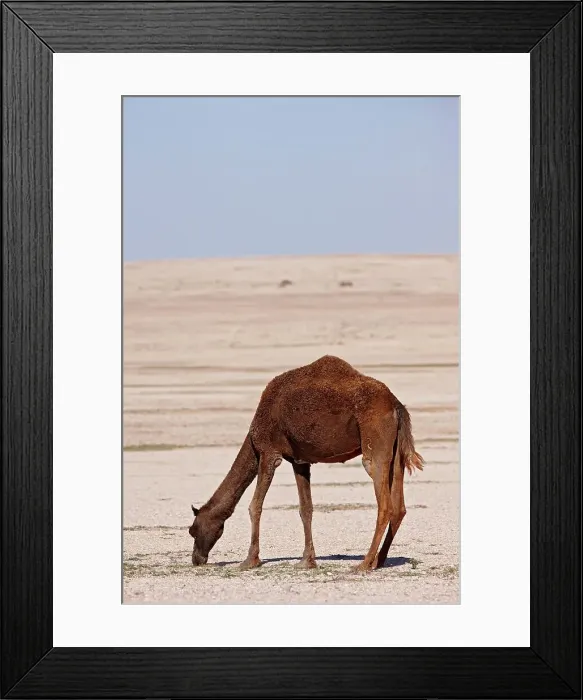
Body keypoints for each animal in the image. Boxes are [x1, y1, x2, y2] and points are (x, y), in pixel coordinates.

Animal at [189, 355, 424, 572]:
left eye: (193, 530)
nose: (197, 559)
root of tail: (396, 405)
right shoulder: (299, 461)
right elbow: (306, 509)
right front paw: (307, 561)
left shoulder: (268, 452)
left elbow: (255, 506)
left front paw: (250, 561)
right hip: (396, 452)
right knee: (398, 506)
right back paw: (379, 561)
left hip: (374, 441)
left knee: (384, 503)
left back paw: (364, 563)